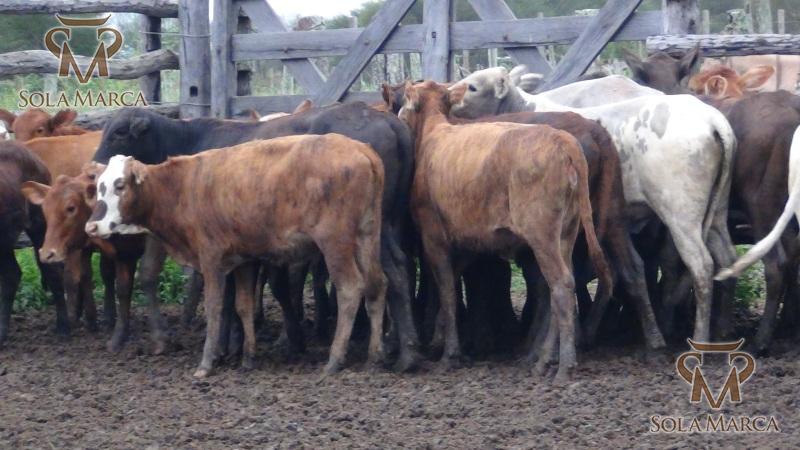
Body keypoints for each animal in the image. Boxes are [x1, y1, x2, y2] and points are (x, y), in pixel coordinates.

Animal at [91, 103, 421, 371]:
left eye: (118, 133)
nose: (91, 170)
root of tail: (382, 119)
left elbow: (223, 299)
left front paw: (223, 348)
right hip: (381, 230)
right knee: (395, 274)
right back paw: (403, 352)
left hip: (352, 236)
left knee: (367, 282)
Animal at [382, 82, 665, 356]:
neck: (436, 131)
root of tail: (589, 131)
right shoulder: (468, 239)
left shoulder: (435, 235)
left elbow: (446, 288)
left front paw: (448, 347)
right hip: (608, 219)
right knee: (628, 270)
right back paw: (650, 341)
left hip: (547, 234)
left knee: (558, 284)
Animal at [451, 67, 738, 344]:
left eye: (472, 87)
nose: (449, 101)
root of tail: (713, 120)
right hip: (716, 211)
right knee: (727, 258)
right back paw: (722, 330)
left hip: (681, 214)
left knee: (701, 265)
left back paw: (699, 337)